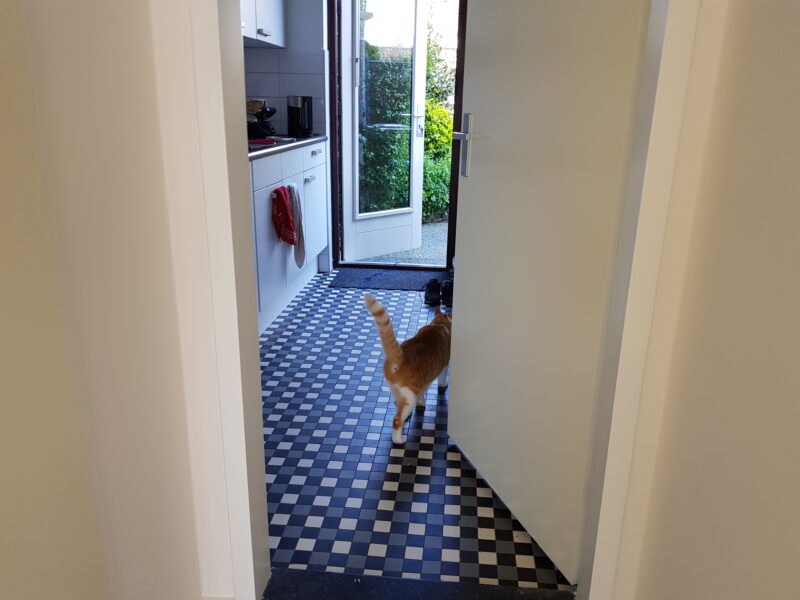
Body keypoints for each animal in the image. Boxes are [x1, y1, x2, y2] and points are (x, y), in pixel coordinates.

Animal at [362, 292, 450, 442]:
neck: (438, 324)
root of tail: (400, 357)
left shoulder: (423, 383)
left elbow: (422, 393)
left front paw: (421, 402)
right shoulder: (444, 366)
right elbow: (442, 379)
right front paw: (443, 385)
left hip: (396, 391)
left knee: (398, 407)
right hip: (409, 396)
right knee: (396, 420)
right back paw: (399, 439)